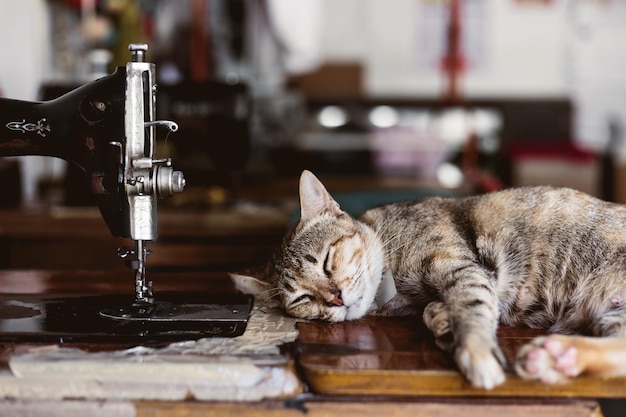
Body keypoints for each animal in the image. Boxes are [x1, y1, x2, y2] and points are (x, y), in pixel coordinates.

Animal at [234, 170, 626, 390]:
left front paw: (474, 350)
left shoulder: (463, 268)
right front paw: (442, 322)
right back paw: (557, 359)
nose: (335, 298)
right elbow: (438, 309)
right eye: (302, 298)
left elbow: (471, 307)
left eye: (328, 260)